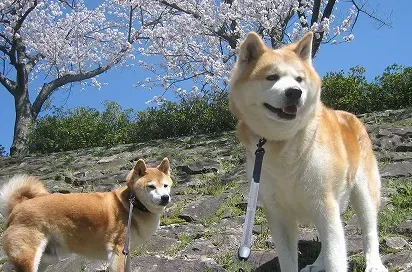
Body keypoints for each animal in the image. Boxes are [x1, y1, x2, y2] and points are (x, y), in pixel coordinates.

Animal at [0, 157, 172, 272]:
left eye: (165, 185)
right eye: (151, 186)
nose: (165, 197)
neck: (132, 205)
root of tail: (17, 207)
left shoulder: (126, 253)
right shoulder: (117, 251)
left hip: (46, 258)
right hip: (27, 257)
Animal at [230, 32, 388, 272]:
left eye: (299, 79)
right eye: (272, 77)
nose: (294, 93)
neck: (283, 141)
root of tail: (348, 114)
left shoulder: (324, 203)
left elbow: (336, 257)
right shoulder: (279, 213)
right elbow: (290, 259)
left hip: (363, 192)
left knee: (368, 231)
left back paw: (374, 264)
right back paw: (317, 264)